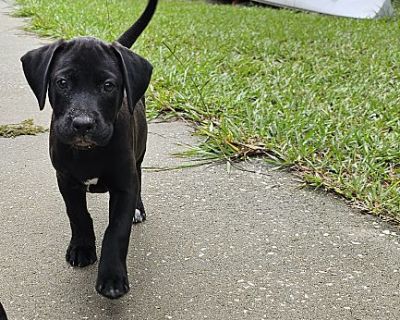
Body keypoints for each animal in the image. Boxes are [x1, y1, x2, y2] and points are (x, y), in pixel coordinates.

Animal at [20, 0, 158, 300]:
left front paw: (112, 277)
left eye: (108, 86)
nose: (82, 124)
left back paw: (138, 209)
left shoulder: (124, 185)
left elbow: (116, 230)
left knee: (140, 177)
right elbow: (78, 215)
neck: (88, 152)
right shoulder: (65, 180)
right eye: (62, 83)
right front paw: (82, 248)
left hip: (139, 153)